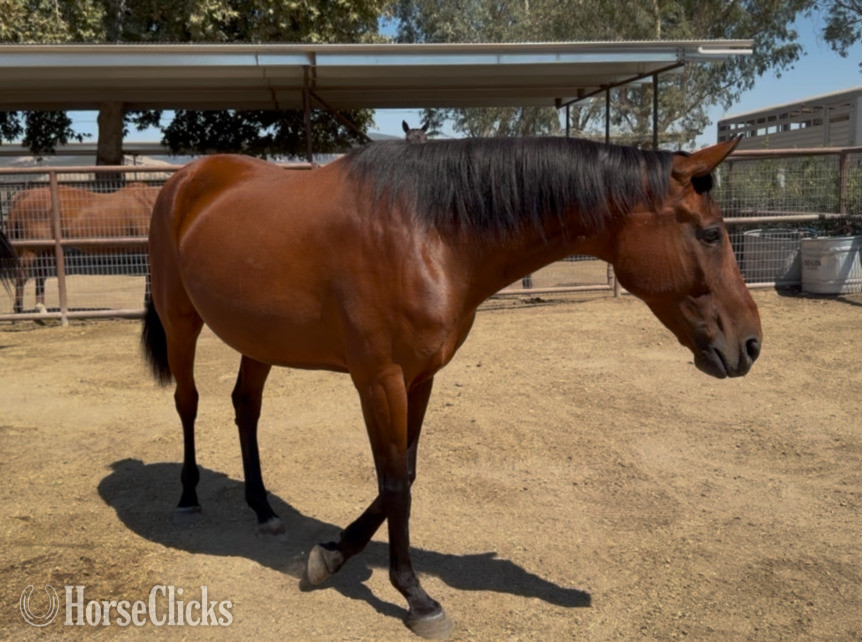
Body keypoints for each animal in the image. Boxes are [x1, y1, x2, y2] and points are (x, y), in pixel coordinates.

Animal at [7, 182, 160, 313]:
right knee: (22, 274)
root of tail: (27, 195)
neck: (148, 203)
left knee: (40, 274)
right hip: (32, 249)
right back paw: (19, 309)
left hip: (46, 249)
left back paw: (40, 308)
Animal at [141, 136, 761, 638]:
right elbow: (394, 483)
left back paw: (263, 507)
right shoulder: (379, 381)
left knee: (246, 407)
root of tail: (184, 179)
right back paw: (188, 496)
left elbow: (407, 473)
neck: (427, 232)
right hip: (181, 322)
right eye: (711, 234)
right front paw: (416, 597)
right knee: (187, 403)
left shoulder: (420, 379)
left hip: (259, 339)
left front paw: (332, 554)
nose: (751, 344)